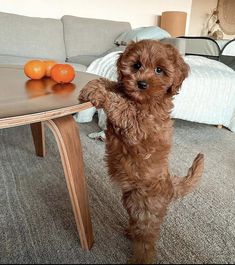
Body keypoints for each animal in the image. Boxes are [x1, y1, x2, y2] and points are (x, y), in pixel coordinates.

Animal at [79, 39, 204, 264]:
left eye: (159, 70)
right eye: (136, 65)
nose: (141, 84)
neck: (144, 100)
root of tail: (170, 185)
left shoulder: (138, 128)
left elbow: (121, 105)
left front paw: (101, 94)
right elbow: (115, 85)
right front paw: (96, 84)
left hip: (146, 209)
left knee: (147, 243)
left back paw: (139, 257)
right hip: (131, 201)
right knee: (135, 223)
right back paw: (130, 231)